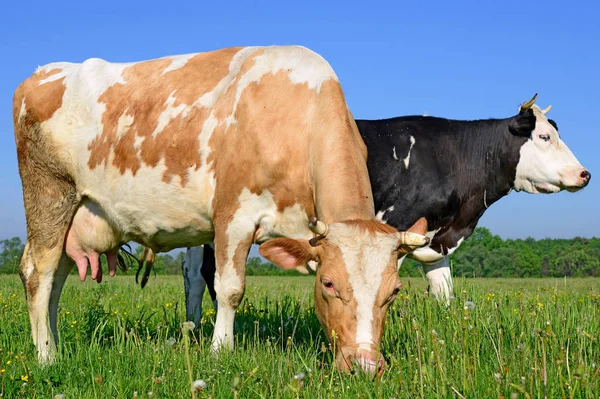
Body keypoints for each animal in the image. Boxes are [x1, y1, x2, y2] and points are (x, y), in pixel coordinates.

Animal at [11, 46, 428, 376]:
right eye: (328, 284)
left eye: (394, 291)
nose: (365, 366)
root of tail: (42, 74)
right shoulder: (234, 214)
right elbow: (229, 289)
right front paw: (219, 351)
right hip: (49, 196)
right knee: (38, 274)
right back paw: (46, 357)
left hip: (77, 217)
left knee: (56, 280)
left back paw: (55, 345)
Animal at [139, 93, 592, 322]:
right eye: (544, 137)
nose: (585, 174)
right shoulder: (397, 225)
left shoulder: (436, 236)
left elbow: (443, 291)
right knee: (208, 275)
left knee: (193, 277)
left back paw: (193, 327)